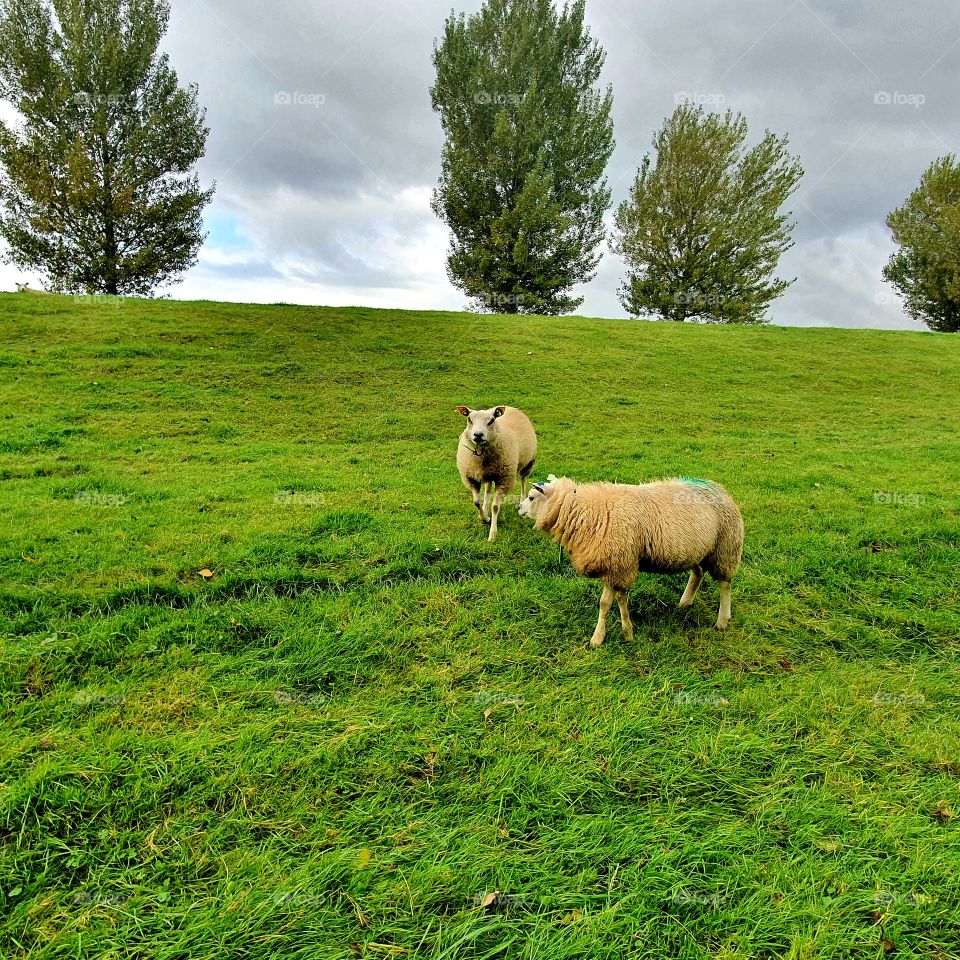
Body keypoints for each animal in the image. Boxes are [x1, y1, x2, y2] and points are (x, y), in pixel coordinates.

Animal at [456, 405, 537, 542]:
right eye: (469, 419)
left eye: (491, 420)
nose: (478, 435)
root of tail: (510, 407)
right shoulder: (472, 479)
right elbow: (476, 502)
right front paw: (485, 518)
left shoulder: (504, 480)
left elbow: (495, 507)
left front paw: (493, 534)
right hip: (488, 474)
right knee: (488, 488)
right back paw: (485, 508)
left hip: (528, 463)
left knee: (523, 481)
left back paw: (521, 501)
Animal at [518, 475, 744, 643]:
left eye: (531, 498)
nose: (518, 508)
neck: (587, 510)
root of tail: (721, 489)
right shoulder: (615, 565)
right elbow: (612, 601)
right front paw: (612, 634)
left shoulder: (618, 564)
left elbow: (612, 601)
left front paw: (613, 635)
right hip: (697, 550)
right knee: (698, 573)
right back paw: (685, 602)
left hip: (725, 548)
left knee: (725, 584)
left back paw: (722, 620)